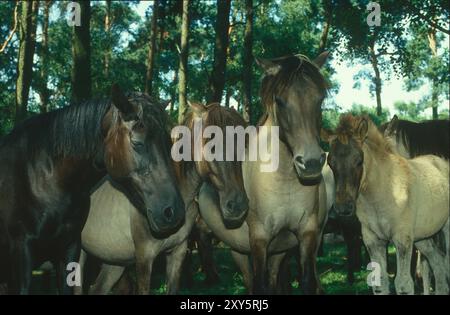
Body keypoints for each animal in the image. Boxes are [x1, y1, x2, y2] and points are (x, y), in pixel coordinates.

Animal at [0, 85, 185, 296]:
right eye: (137, 143)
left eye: (167, 143)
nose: (174, 211)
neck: (40, 177)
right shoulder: (22, 253)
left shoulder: (69, 248)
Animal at [326, 115, 448, 296]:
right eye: (330, 163)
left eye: (359, 160)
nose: (343, 207)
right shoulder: (373, 241)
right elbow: (380, 283)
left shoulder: (402, 239)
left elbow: (403, 284)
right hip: (423, 237)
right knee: (438, 263)